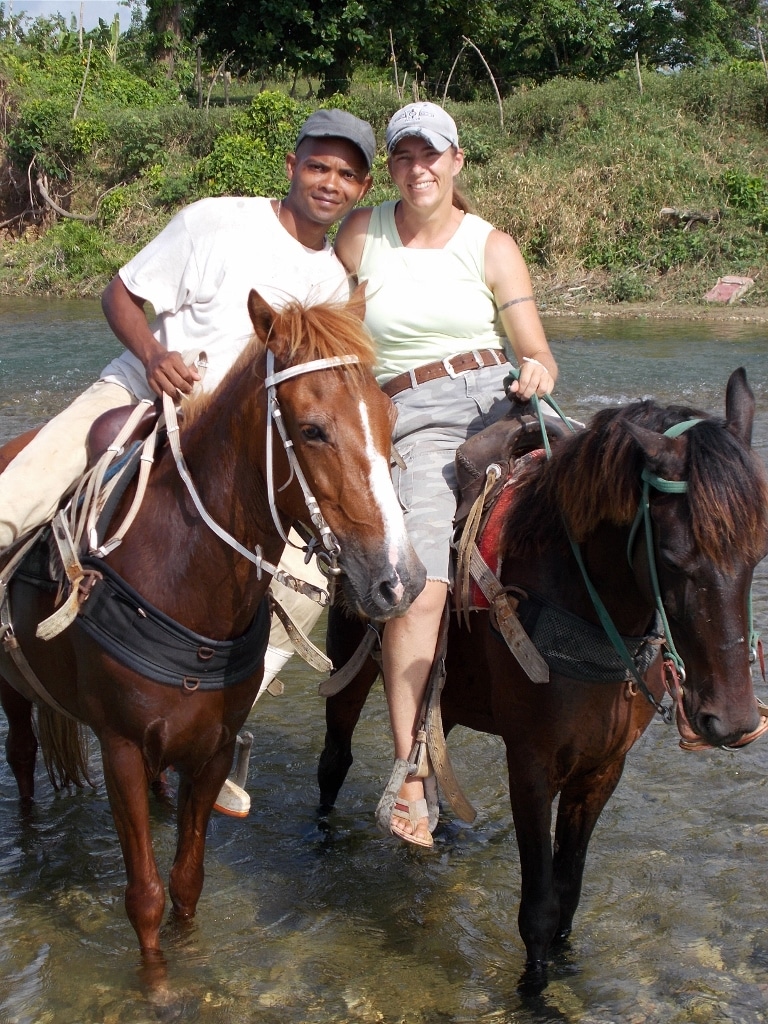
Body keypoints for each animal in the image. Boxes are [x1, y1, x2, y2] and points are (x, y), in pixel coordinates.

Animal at [0, 289, 425, 981]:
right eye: (312, 429)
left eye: (389, 417)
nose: (400, 580)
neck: (183, 574)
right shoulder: (119, 747)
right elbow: (144, 894)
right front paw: (156, 985)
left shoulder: (214, 748)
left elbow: (187, 881)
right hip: (13, 687)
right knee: (21, 757)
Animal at [318, 367, 768, 992]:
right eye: (676, 560)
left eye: (757, 553)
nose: (733, 722)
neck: (580, 600)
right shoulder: (530, 767)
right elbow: (538, 908)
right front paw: (536, 993)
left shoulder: (601, 770)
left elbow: (569, 893)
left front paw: (567, 968)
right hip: (349, 666)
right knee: (334, 761)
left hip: (446, 698)